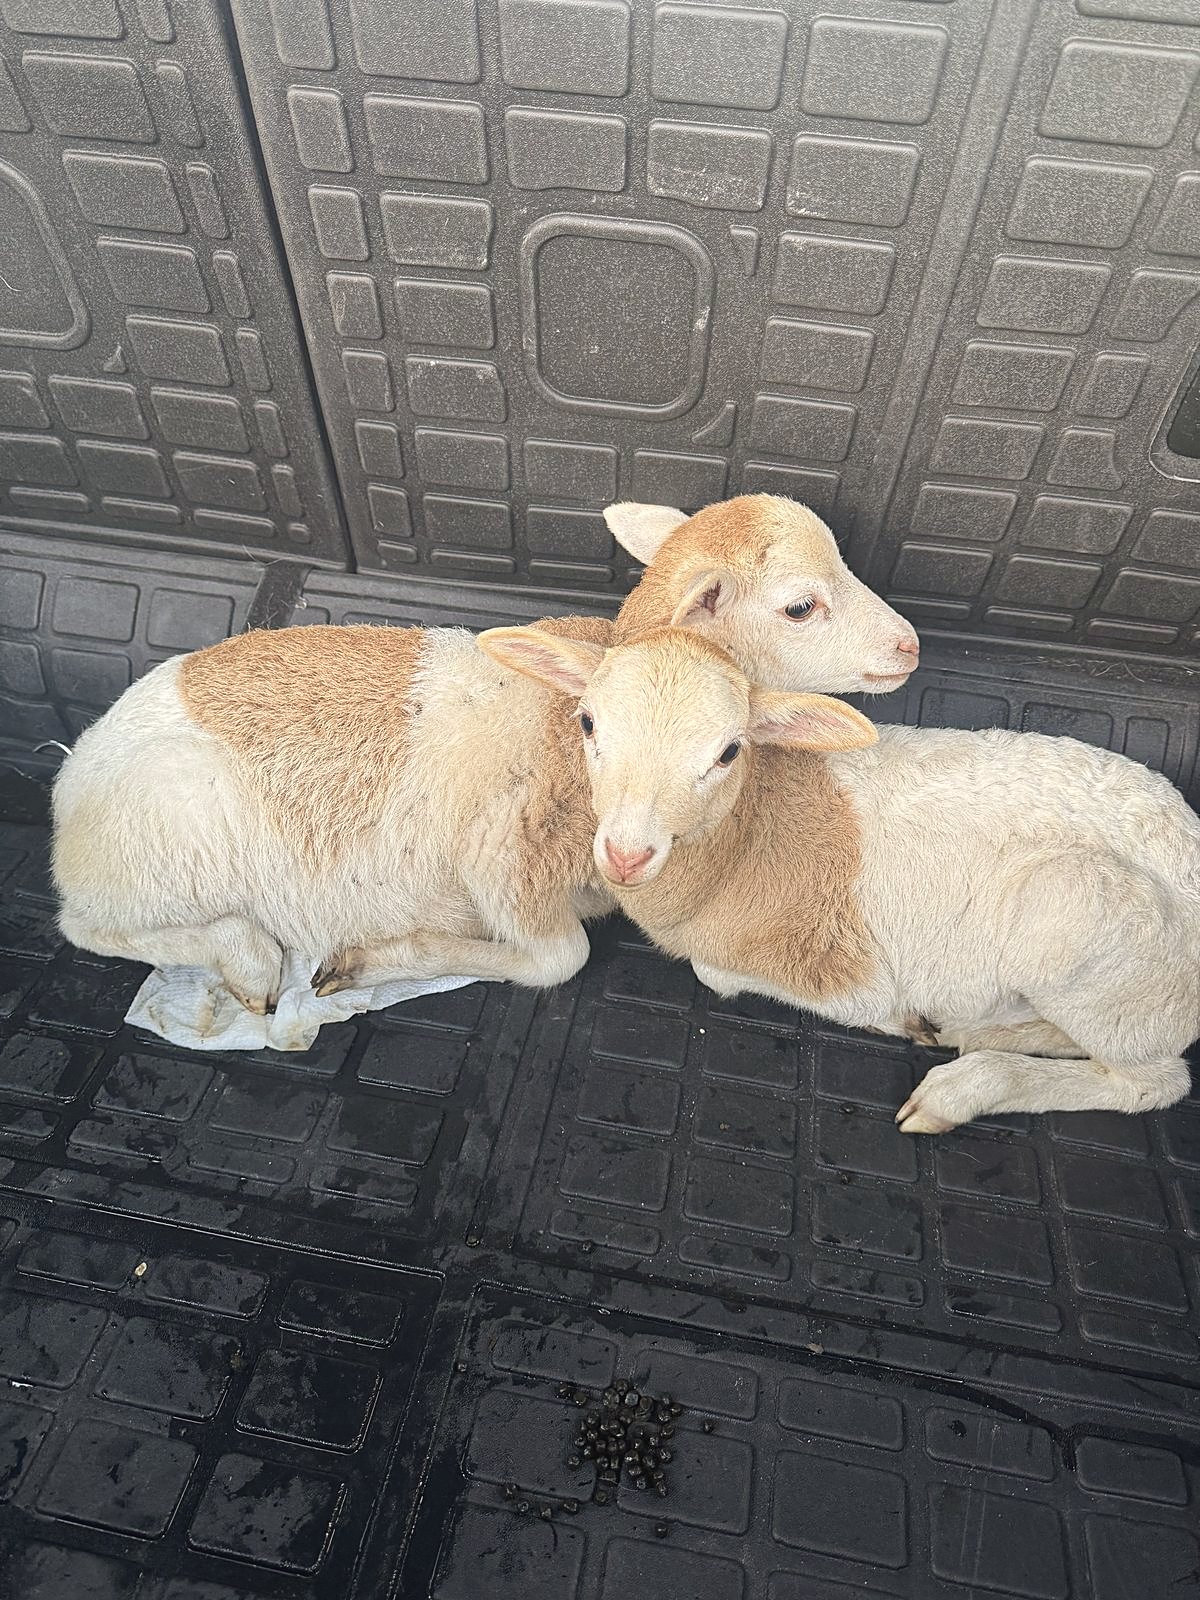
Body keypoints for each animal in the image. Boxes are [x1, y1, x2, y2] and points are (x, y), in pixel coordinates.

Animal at [51, 495, 919, 1013]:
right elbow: (559, 959)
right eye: (801, 607)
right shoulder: (503, 858)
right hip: (165, 848)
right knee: (87, 927)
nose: (911, 644)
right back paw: (250, 960)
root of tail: (71, 783)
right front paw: (385, 957)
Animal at [478, 624, 1200, 1133]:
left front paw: (889, 1019)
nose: (627, 854)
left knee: (1154, 1083)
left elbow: (718, 975)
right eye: (588, 722)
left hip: (1087, 939)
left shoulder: (823, 956)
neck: (745, 838)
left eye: (728, 752)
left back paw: (963, 1082)